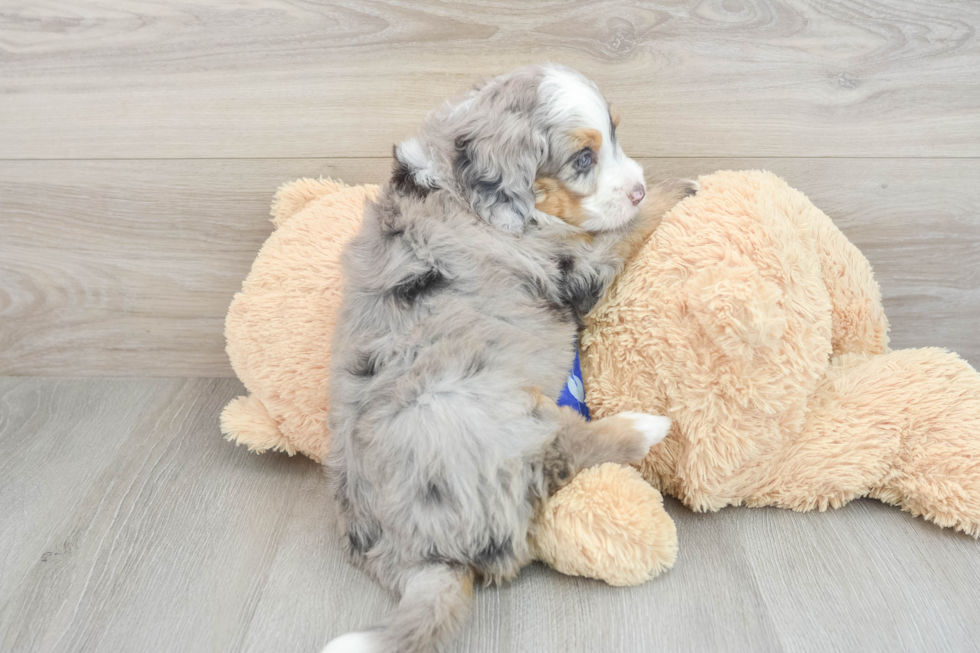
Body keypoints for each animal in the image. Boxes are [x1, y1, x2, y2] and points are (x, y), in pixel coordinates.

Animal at [326, 62, 692, 652]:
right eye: (583, 159)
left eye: (614, 134)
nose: (636, 188)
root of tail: (420, 558)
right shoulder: (573, 267)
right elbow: (619, 233)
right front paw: (675, 189)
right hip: (478, 412)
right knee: (560, 452)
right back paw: (643, 427)